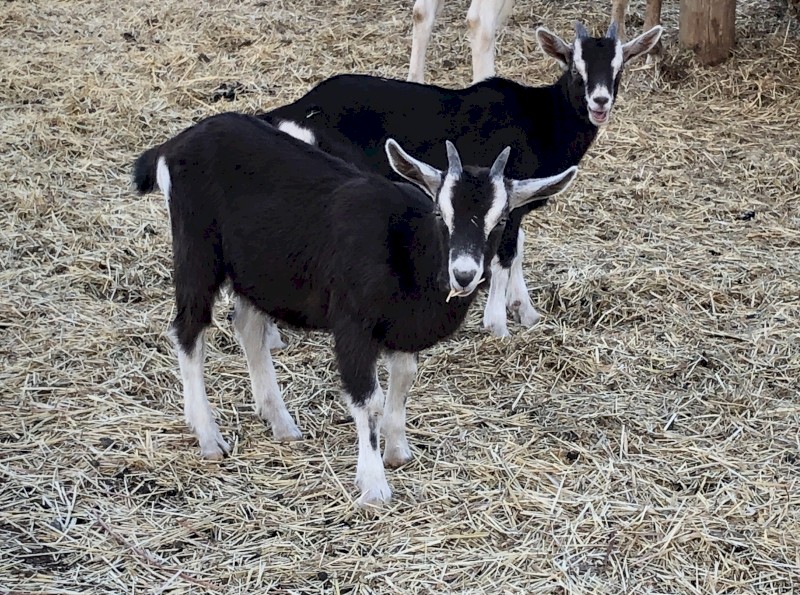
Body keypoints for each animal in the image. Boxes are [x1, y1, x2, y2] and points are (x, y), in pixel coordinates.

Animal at [132, 112, 578, 506]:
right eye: (440, 212)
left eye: (500, 220)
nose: (464, 274)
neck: (407, 249)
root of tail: (173, 146)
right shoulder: (352, 326)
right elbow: (369, 400)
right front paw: (374, 485)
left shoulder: (402, 329)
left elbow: (404, 380)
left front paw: (398, 451)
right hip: (196, 250)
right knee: (189, 330)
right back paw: (209, 437)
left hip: (256, 271)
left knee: (247, 326)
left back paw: (281, 422)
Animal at [261, 21, 661, 339]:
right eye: (576, 69)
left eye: (618, 68)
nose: (599, 101)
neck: (541, 120)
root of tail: (294, 111)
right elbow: (504, 256)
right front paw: (498, 325)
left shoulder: (515, 202)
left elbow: (517, 248)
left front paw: (525, 311)